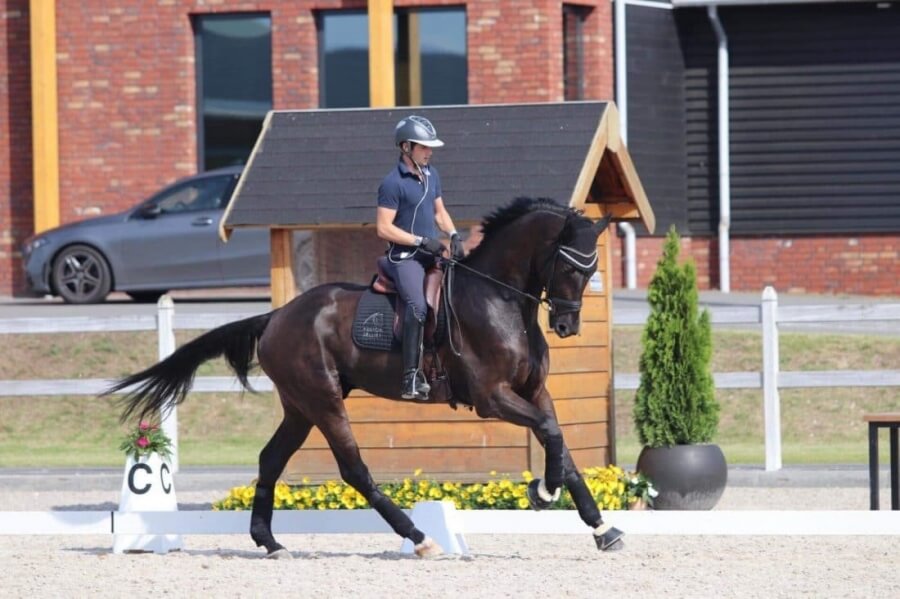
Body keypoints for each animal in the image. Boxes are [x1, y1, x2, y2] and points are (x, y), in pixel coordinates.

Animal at [107, 197, 624, 557]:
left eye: (593, 268)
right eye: (568, 265)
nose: (567, 325)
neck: (500, 300)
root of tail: (275, 316)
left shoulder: (533, 391)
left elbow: (560, 440)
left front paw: (602, 528)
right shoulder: (491, 397)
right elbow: (550, 432)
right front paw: (544, 490)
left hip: (300, 407)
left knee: (270, 459)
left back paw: (270, 542)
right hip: (323, 401)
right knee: (354, 469)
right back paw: (419, 537)